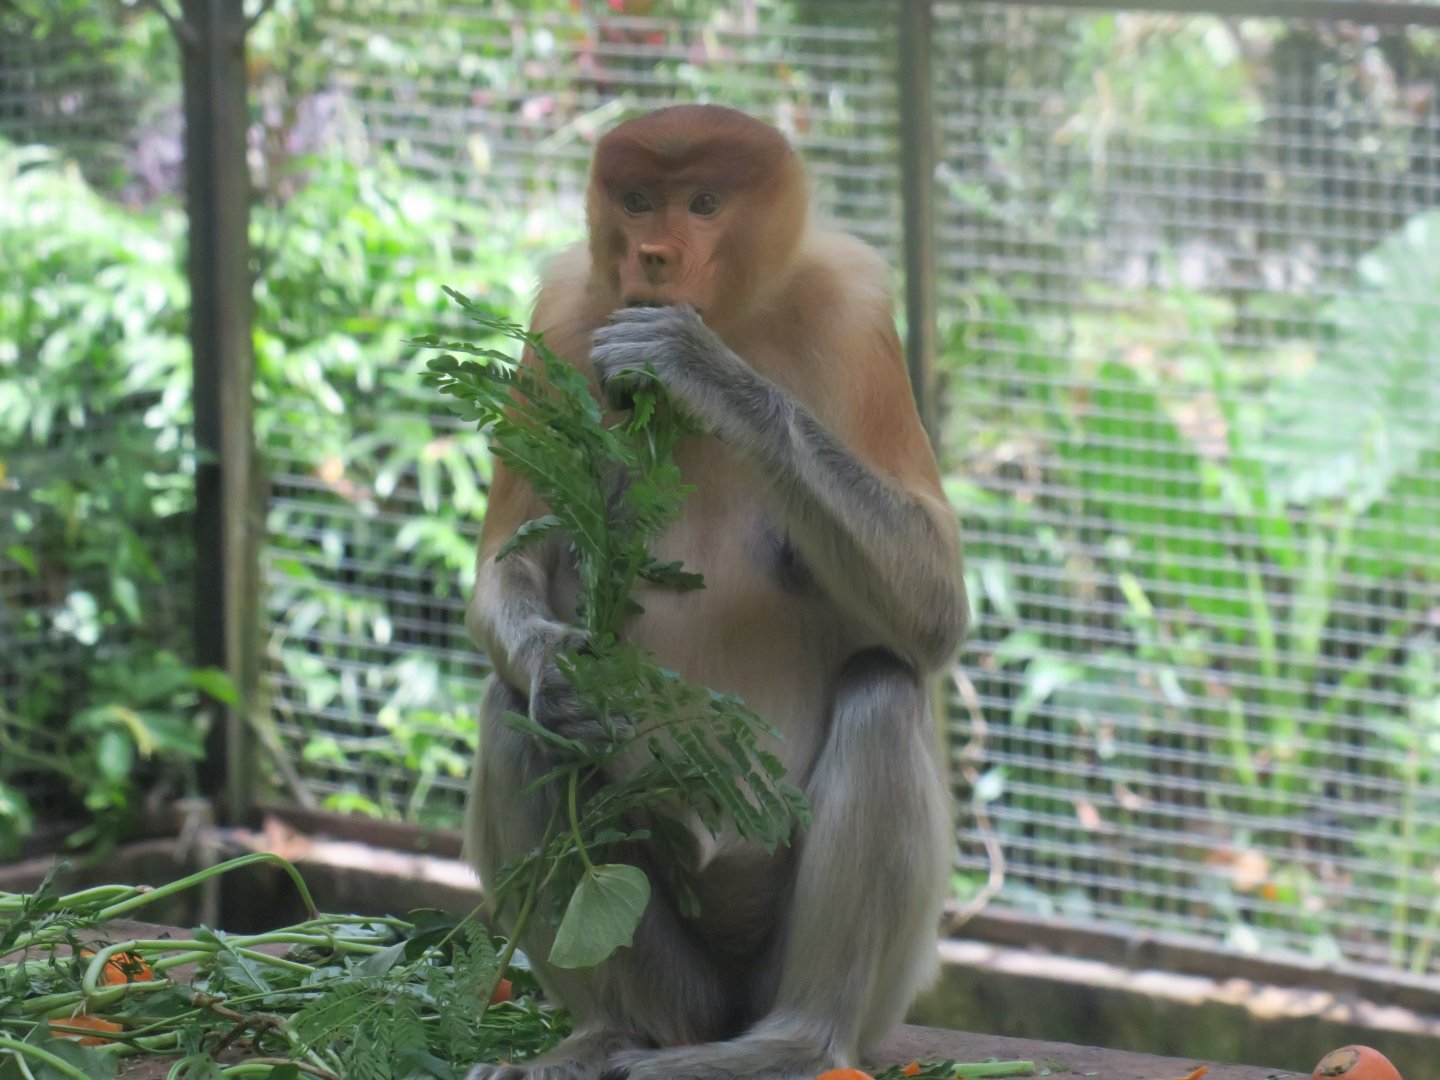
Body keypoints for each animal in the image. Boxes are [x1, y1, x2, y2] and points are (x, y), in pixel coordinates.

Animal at [464, 105, 967, 1080]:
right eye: (637, 200)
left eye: (702, 204)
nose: (654, 257)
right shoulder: (563, 317)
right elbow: (512, 560)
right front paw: (563, 675)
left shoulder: (855, 315)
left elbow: (936, 604)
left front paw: (694, 366)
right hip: (675, 968)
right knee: (514, 721)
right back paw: (614, 1035)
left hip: (852, 984)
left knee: (885, 691)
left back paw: (792, 1045)